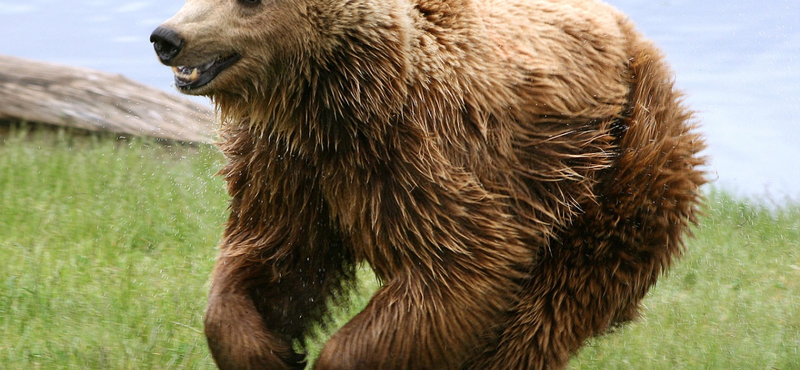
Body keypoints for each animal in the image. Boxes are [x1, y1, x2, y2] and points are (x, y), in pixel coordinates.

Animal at [150, 0, 708, 368]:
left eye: (251, 1)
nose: (166, 37)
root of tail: (634, 36)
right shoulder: (289, 169)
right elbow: (274, 259)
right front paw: (270, 352)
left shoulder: (425, 158)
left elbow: (458, 270)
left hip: (614, 169)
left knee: (547, 312)